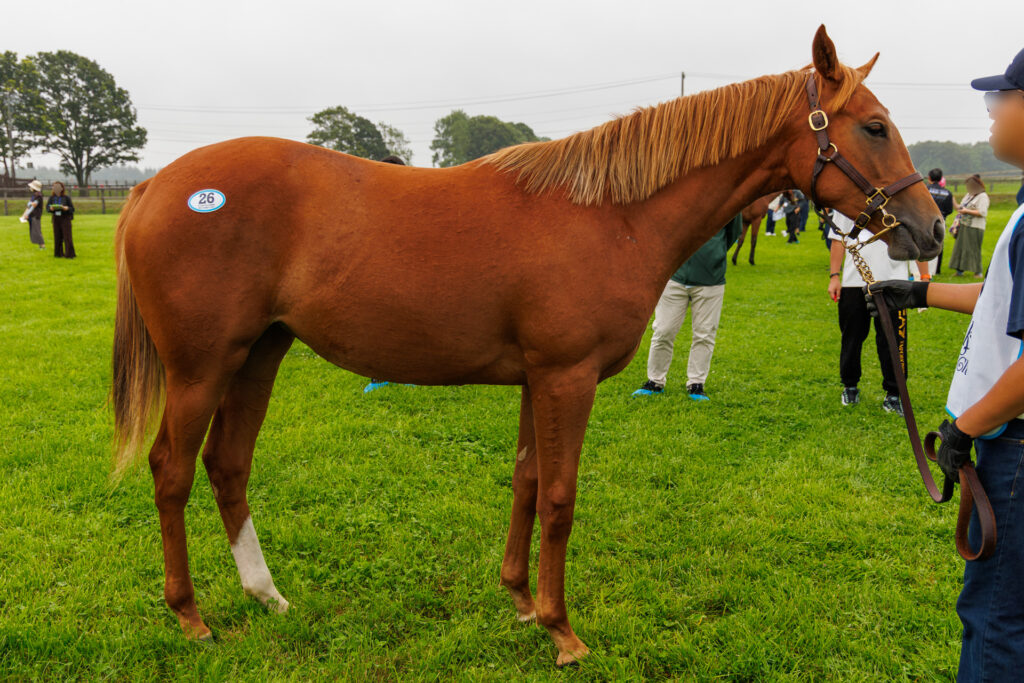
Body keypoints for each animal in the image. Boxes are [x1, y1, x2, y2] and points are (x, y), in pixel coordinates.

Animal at [110, 26, 943, 666]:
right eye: (873, 126)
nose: (929, 229)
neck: (611, 214)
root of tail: (154, 187)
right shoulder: (565, 378)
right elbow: (562, 497)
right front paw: (560, 628)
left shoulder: (534, 379)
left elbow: (525, 480)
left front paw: (517, 597)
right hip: (202, 366)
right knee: (172, 469)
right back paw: (191, 614)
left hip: (260, 353)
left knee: (227, 464)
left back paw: (266, 593)